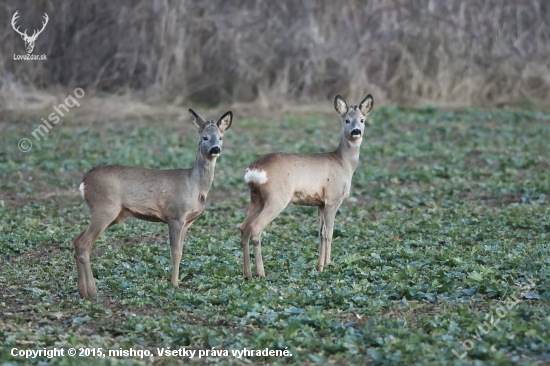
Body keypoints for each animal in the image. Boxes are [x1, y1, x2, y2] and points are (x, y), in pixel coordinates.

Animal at [73, 108, 233, 298]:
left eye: (221, 137)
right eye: (204, 137)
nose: (215, 149)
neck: (195, 185)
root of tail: (84, 181)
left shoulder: (187, 222)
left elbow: (181, 251)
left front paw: (176, 283)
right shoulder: (175, 216)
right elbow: (175, 252)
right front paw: (174, 285)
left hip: (109, 213)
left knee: (77, 240)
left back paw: (82, 290)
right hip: (104, 208)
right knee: (84, 244)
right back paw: (92, 291)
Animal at [242, 93, 376, 278]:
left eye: (362, 120)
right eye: (346, 120)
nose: (356, 131)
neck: (344, 164)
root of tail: (254, 169)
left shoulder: (320, 203)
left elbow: (321, 233)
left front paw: (323, 264)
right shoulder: (333, 199)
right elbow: (329, 232)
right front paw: (326, 265)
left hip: (256, 199)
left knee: (243, 228)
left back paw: (247, 274)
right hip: (277, 197)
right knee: (255, 227)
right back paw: (261, 273)